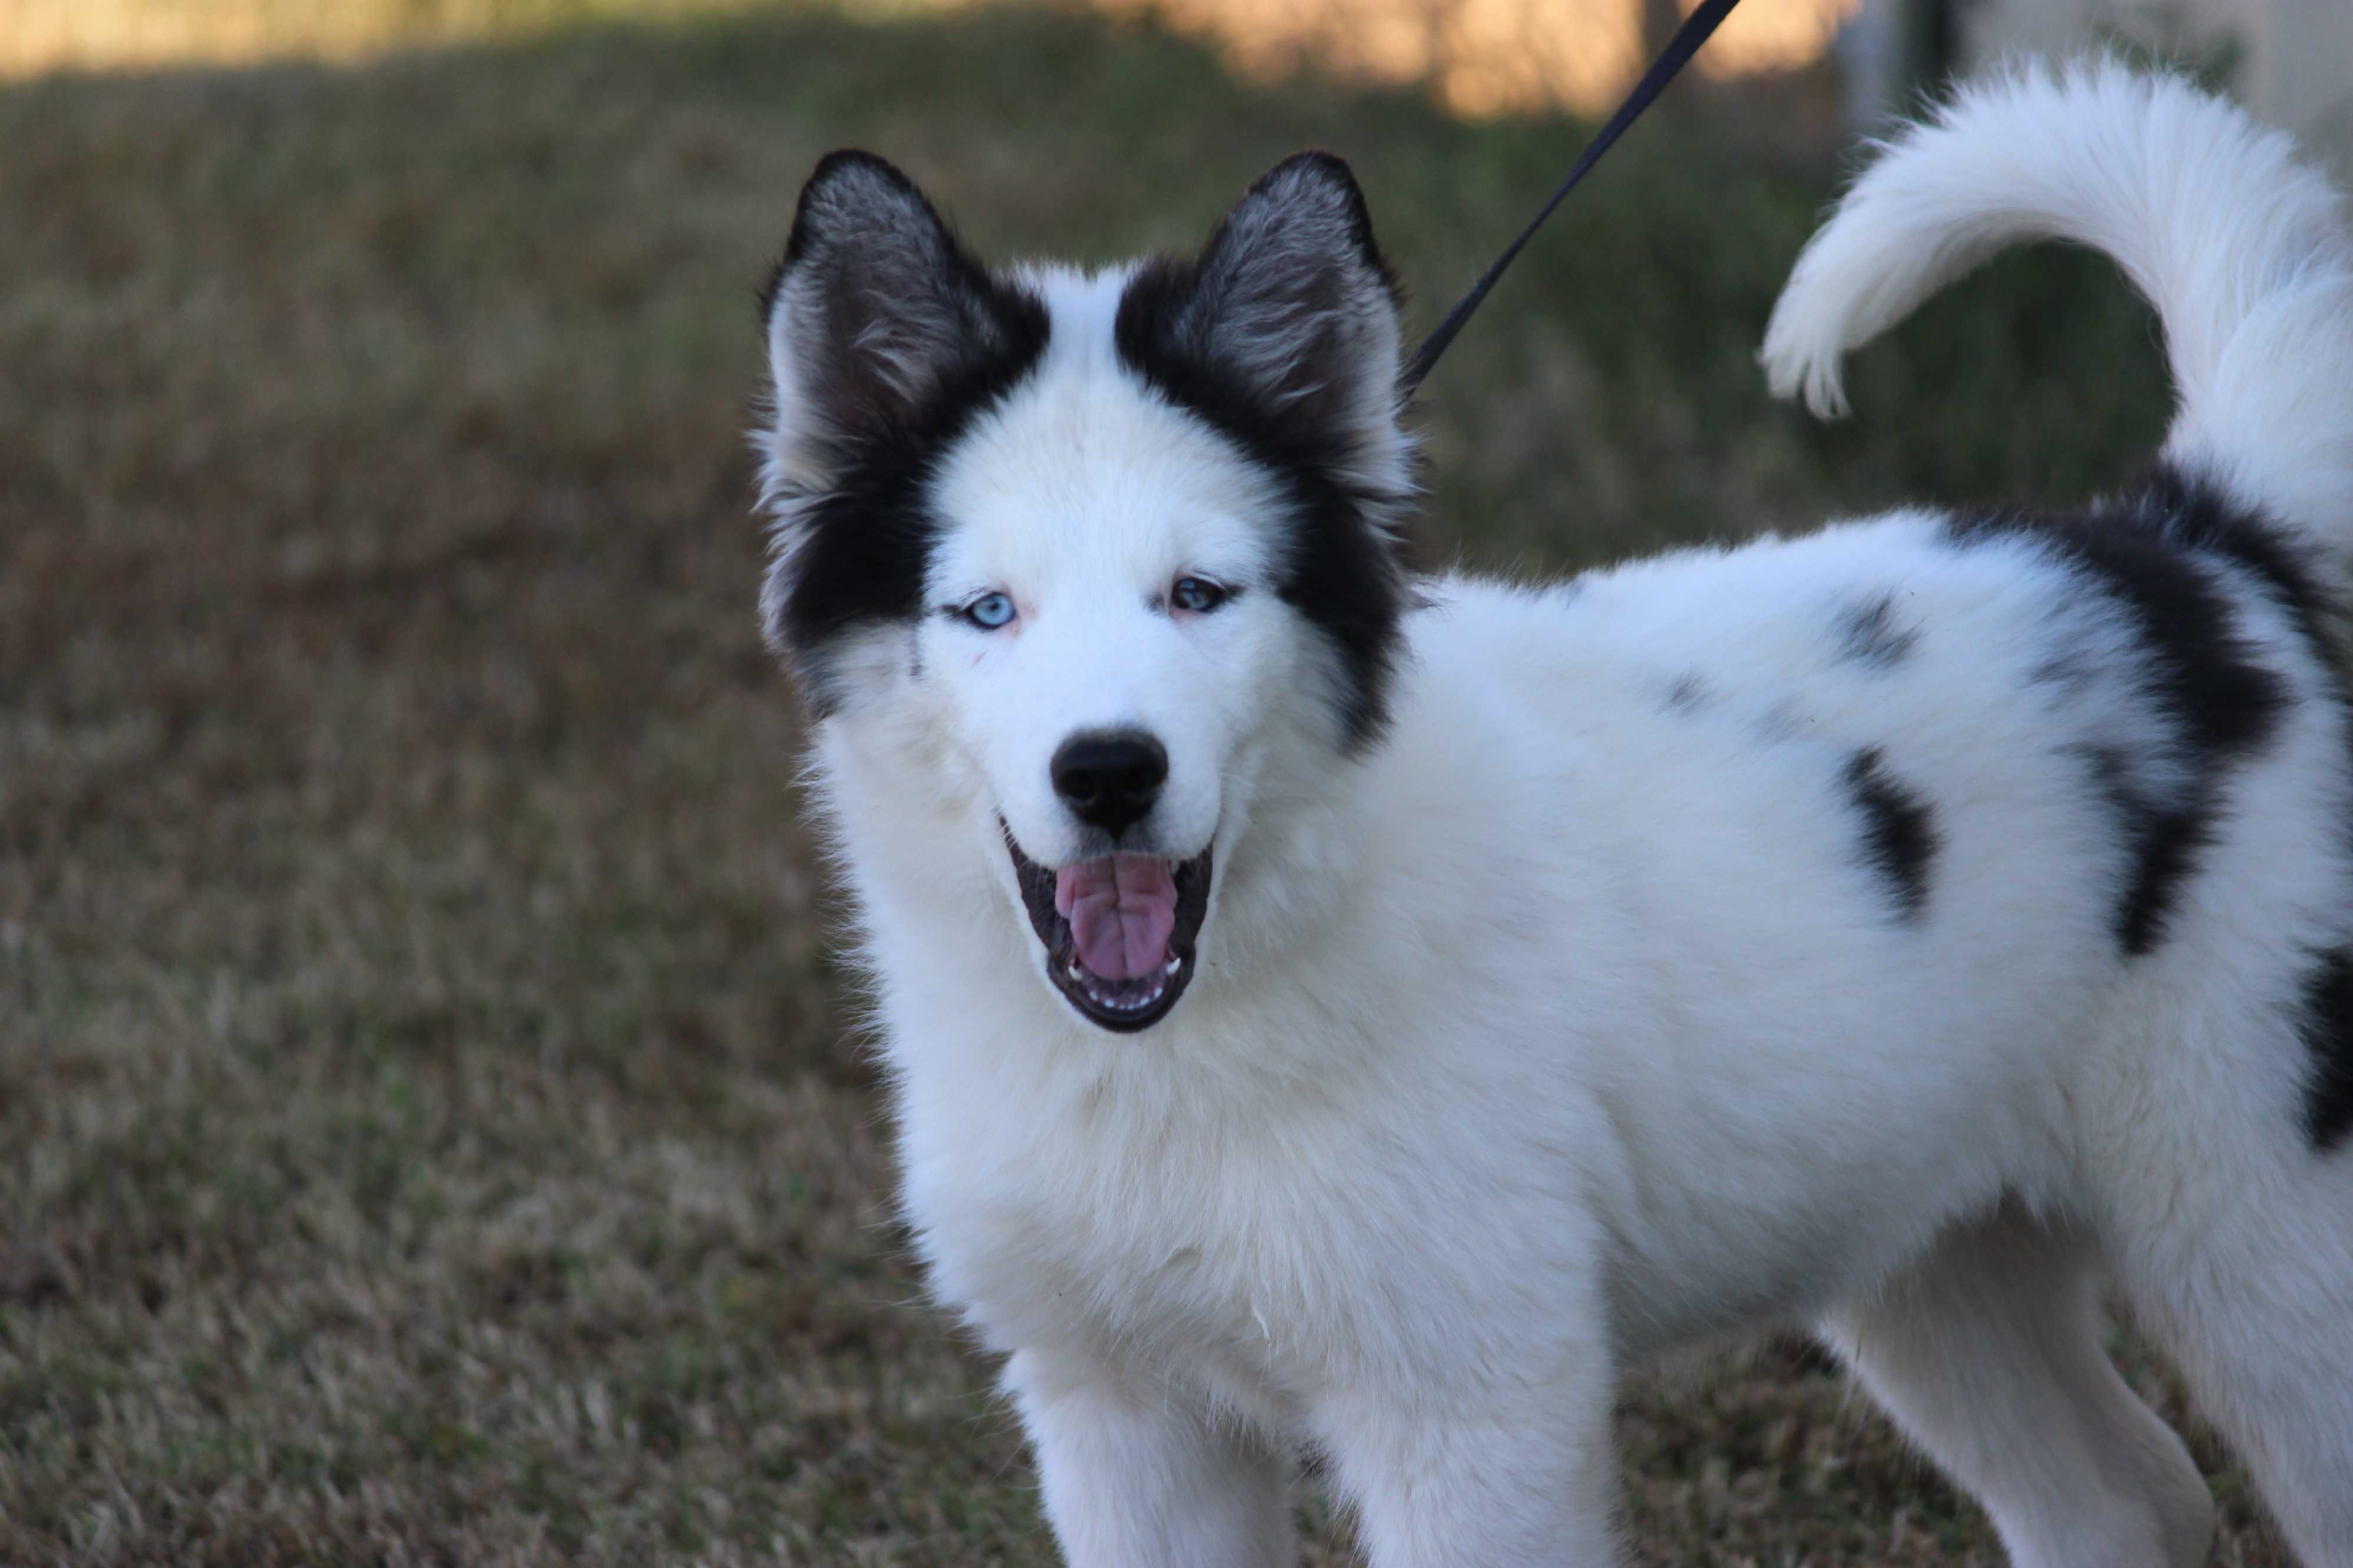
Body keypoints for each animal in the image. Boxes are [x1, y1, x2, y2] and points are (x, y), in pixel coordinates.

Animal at [753, 61, 2353, 1563]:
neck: (1182, 1046)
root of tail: (2191, 556)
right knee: (2124, 1496)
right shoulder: (1115, 1411)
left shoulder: (1470, 1402)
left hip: (2263, 1218)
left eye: (1199, 593)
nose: (1107, 774)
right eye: (987, 610)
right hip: (1935, 1241)